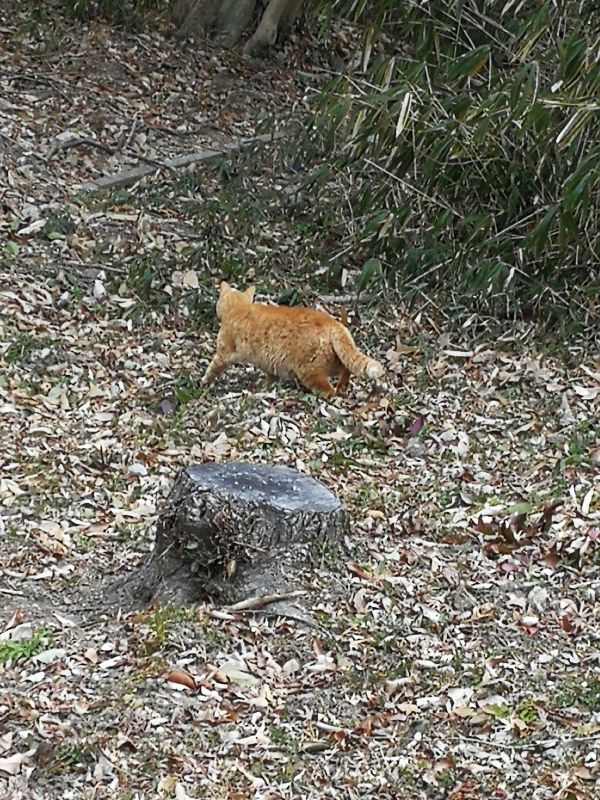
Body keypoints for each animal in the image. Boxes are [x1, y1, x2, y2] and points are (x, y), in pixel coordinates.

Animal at [203, 282, 384, 396]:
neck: (238, 308)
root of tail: (333, 323)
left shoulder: (223, 353)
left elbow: (212, 368)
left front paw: (204, 381)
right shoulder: (270, 364)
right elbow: (270, 378)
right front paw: (265, 387)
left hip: (309, 371)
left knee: (328, 390)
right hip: (333, 361)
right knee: (347, 369)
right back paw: (342, 387)